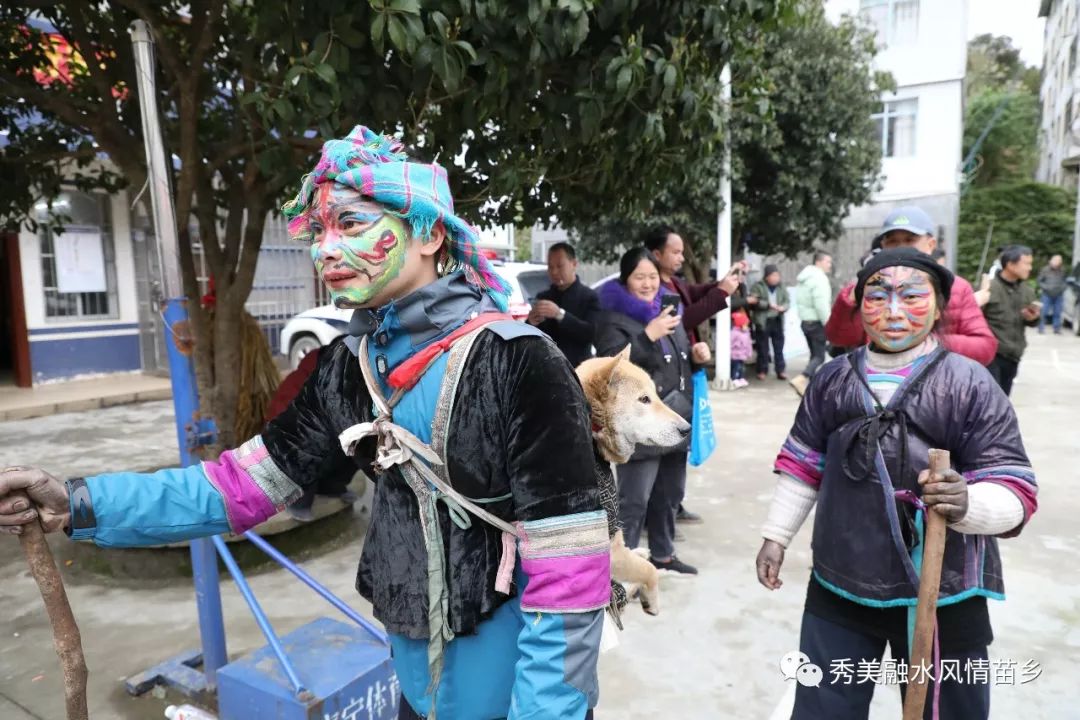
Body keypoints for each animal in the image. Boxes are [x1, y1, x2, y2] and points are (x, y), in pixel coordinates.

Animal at [574, 345, 691, 617]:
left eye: (655, 395)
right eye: (644, 400)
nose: (687, 428)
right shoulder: (611, 550)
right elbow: (650, 571)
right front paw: (652, 601)